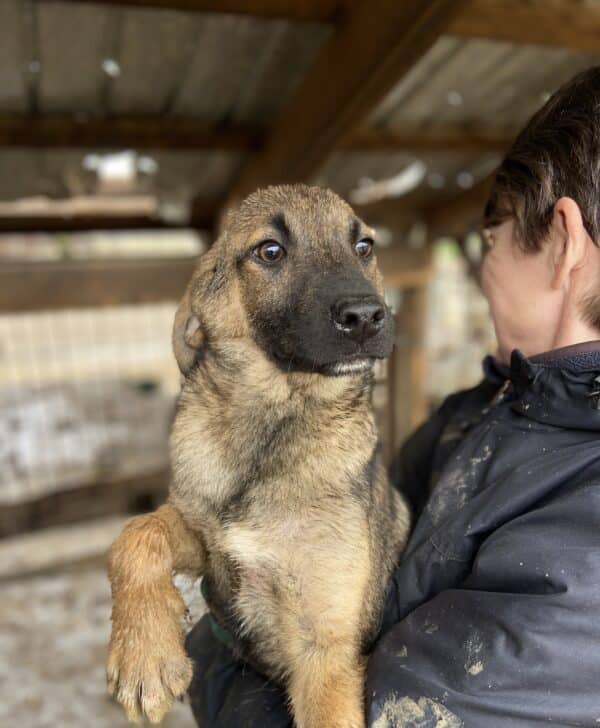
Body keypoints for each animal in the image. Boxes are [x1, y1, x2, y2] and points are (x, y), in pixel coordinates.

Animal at [106, 185, 408, 724]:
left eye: (364, 247)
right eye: (270, 251)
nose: (366, 317)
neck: (271, 430)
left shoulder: (323, 650)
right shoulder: (206, 540)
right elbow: (136, 535)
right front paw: (144, 653)